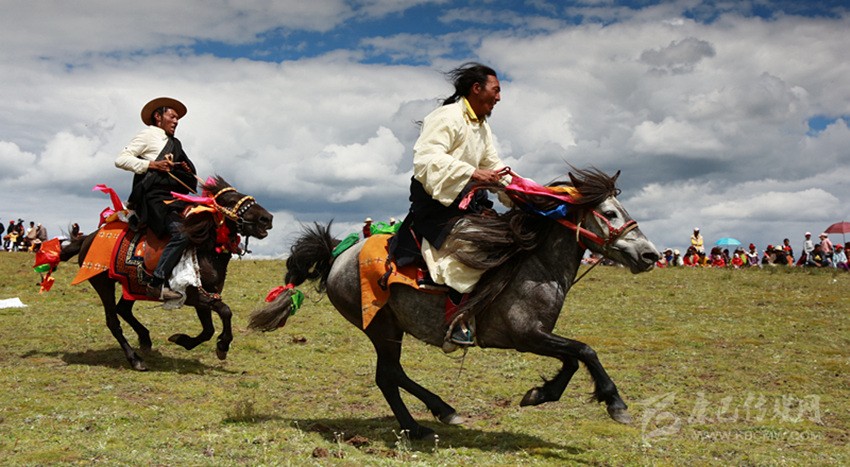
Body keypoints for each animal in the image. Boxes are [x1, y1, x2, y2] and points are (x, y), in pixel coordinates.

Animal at [60, 177, 272, 372]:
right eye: (230, 200)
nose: (267, 218)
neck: (204, 250)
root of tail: (88, 238)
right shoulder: (194, 296)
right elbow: (226, 312)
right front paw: (222, 346)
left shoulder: (207, 295)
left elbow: (208, 329)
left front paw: (183, 340)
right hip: (103, 283)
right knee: (113, 321)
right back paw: (135, 360)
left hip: (133, 285)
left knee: (123, 309)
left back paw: (145, 339)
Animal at [248, 168, 660, 438]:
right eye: (610, 213)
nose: (650, 255)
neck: (531, 264)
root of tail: (337, 253)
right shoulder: (526, 335)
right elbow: (585, 351)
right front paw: (615, 404)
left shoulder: (539, 335)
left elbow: (573, 358)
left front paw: (539, 394)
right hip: (381, 326)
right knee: (388, 375)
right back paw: (424, 422)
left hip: (390, 329)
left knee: (390, 374)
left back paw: (434, 415)